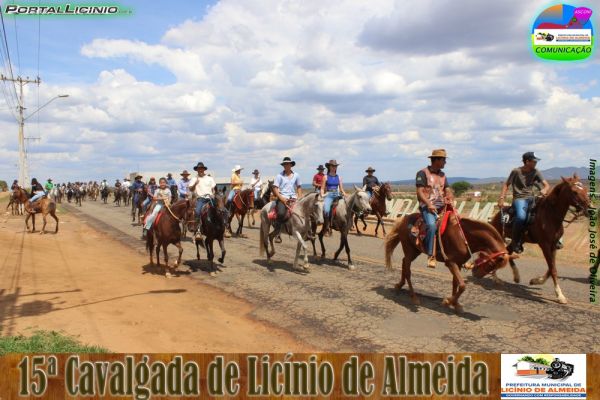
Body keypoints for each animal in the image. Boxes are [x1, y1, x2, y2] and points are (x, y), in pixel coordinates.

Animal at [386, 208, 516, 314]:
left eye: (495, 268)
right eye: (492, 263)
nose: (476, 274)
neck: (464, 236)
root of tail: (404, 219)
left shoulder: (458, 263)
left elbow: (456, 283)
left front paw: (455, 304)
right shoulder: (451, 262)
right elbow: (462, 285)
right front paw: (448, 301)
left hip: (415, 251)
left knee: (404, 263)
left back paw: (399, 285)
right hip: (409, 249)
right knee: (407, 270)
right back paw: (413, 297)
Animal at [490, 174, 592, 304]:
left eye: (585, 189)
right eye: (574, 191)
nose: (590, 209)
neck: (551, 215)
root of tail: (498, 214)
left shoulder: (554, 246)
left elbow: (551, 268)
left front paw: (536, 281)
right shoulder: (545, 245)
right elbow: (553, 269)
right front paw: (560, 296)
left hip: (516, 240)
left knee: (507, 252)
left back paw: (513, 276)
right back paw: (494, 276)